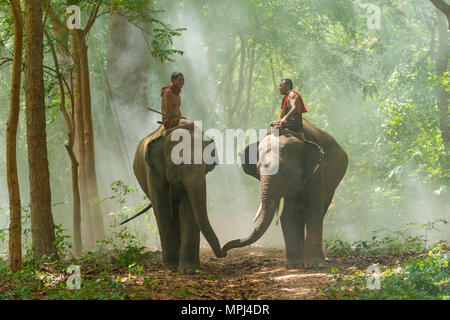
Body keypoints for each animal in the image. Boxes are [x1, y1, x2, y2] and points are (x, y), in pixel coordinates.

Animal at [134, 124, 225, 274]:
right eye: (179, 162)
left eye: (205, 165)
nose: (224, 252)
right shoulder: (153, 172)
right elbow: (162, 207)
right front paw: (171, 266)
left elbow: (188, 208)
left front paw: (189, 270)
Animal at [222, 119, 348, 268]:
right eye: (258, 171)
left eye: (285, 170)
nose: (223, 252)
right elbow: (288, 212)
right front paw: (294, 266)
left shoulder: (317, 172)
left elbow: (313, 208)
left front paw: (315, 264)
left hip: (331, 188)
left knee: (320, 210)